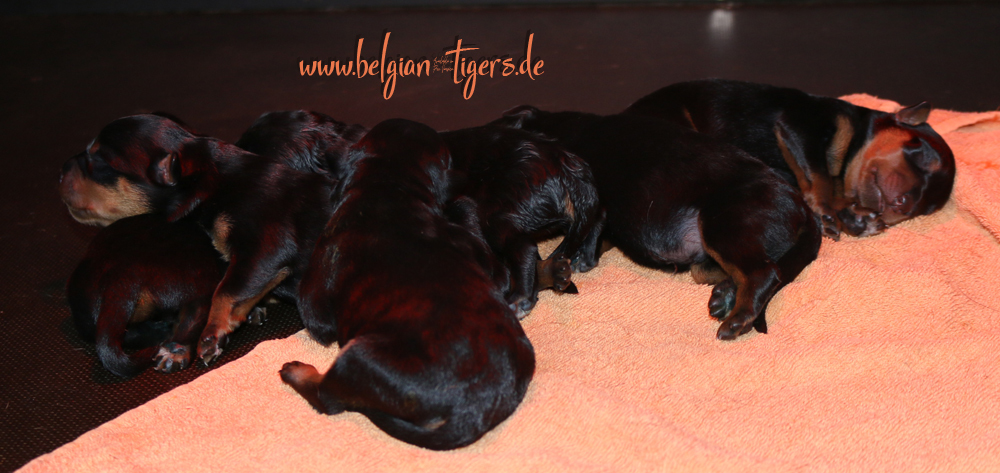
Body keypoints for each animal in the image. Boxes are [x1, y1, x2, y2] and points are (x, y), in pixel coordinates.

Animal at [282, 119, 535, 450]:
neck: (390, 188)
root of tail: (473, 410)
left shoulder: (315, 307)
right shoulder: (492, 270)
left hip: (356, 356)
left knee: (328, 398)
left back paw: (295, 371)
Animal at [440, 126, 604, 316]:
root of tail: (568, 168)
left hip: (496, 212)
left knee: (525, 248)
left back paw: (520, 298)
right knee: (598, 216)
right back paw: (585, 257)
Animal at [494, 106, 822, 340]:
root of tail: (803, 207)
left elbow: (575, 240)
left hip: (722, 222)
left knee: (765, 272)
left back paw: (737, 318)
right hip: (708, 256)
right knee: (759, 268)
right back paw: (725, 296)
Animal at [623, 79, 956, 239]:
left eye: (922, 211)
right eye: (922, 155)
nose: (904, 205)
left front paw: (860, 219)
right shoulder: (799, 125)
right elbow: (818, 174)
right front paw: (828, 210)